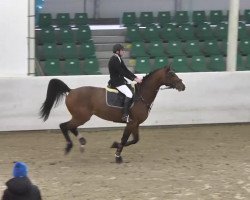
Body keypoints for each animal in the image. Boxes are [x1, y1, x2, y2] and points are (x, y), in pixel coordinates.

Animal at [40, 66, 186, 163]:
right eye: (172, 75)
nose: (183, 86)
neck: (141, 95)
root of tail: (71, 91)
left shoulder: (135, 124)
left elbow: (135, 140)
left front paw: (115, 145)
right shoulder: (131, 122)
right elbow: (125, 139)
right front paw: (118, 156)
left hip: (79, 117)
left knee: (71, 127)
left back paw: (81, 142)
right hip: (82, 117)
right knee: (64, 126)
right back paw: (69, 146)